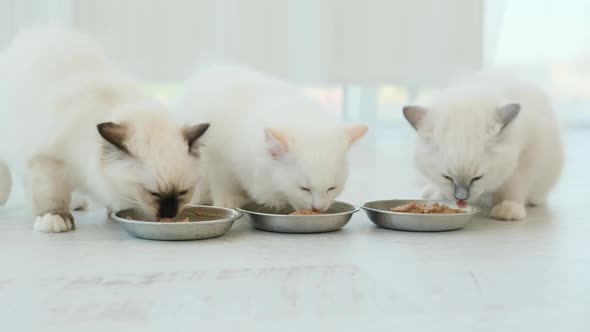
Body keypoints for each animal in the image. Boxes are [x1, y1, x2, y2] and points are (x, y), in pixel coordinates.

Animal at [0, 29, 209, 232]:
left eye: (183, 193)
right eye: (154, 194)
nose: (170, 215)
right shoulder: (49, 161)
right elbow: (50, 195)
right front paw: (54, 218)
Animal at [178, 65, 368, 211]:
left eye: (331, 188)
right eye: (304, 189)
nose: (318, 209)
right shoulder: (216, 157)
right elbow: (222, 183)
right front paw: (227, 201)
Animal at [404, 74, 568, 222]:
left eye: (477, 178)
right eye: (447, 177)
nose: (461, 198)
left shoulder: (526, 156)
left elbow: (512, 187)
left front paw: (508, 208)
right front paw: (439, 194)